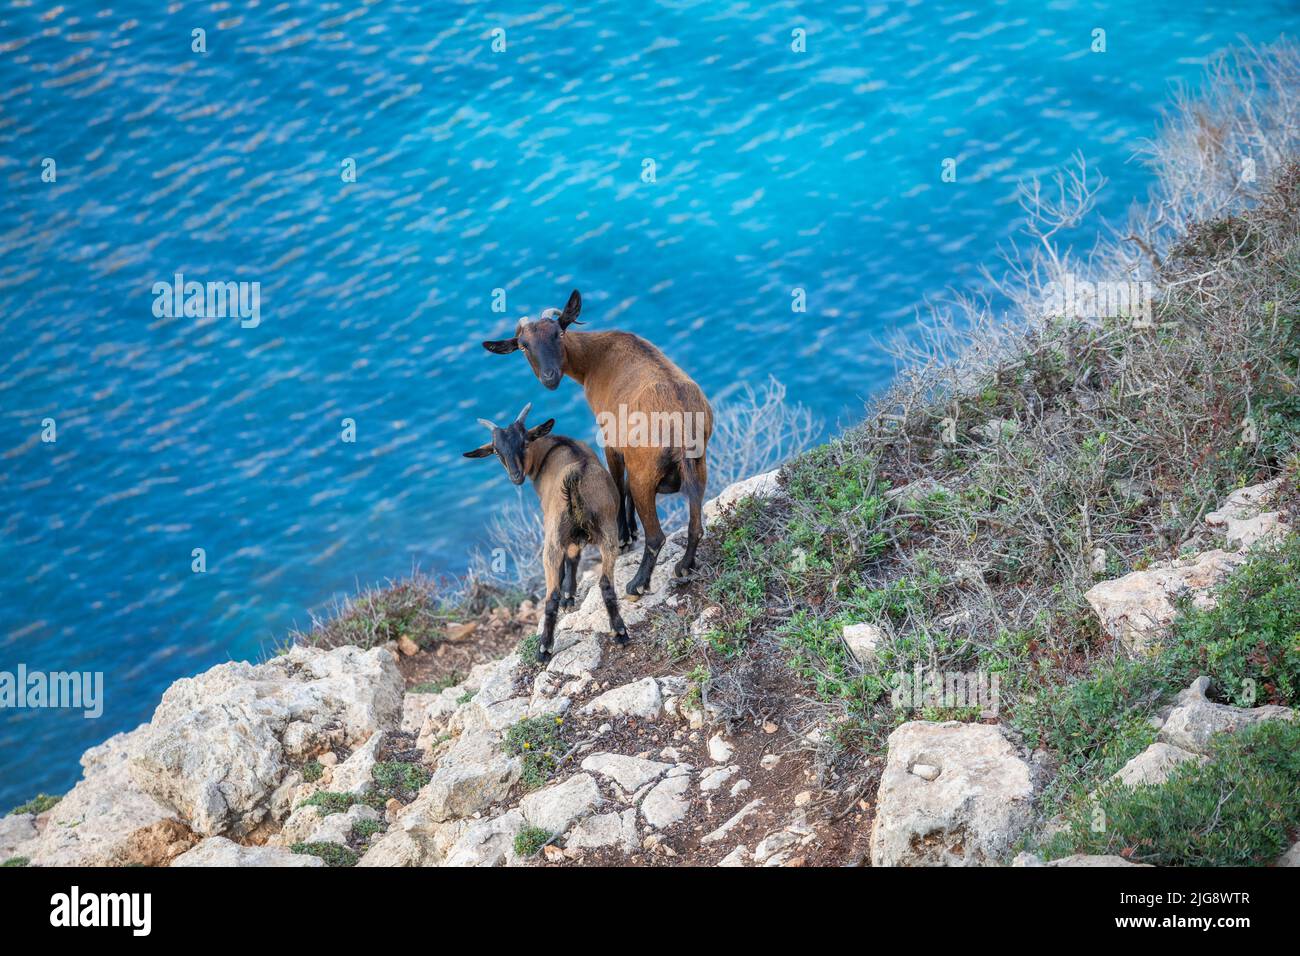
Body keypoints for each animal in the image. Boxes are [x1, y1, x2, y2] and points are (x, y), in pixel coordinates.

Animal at [465, 403, 626, 658]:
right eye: (497, 451)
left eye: (524, 442)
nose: (515, 476)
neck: (553, 447)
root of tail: (575, 479)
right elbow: (574, 557)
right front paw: (571, 595)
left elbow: (568, 562)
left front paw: (568, 597)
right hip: (608, 530)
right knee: (606, 584)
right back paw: (620, 632)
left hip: (552, 539)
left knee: (551, 596)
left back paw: (544, 649)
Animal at [486, 290, 717, 598]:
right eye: (523, 346)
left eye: (558, 333)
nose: (549, 377)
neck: (594, 359)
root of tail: (681, 426)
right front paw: (630, 533)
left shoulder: (610, 438)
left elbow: (618, 484)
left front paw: (624, 538)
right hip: (697, 466)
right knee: (695, 526)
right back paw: (684, 566)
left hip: (646, 473)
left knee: (656, 534)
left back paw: (637, 584)